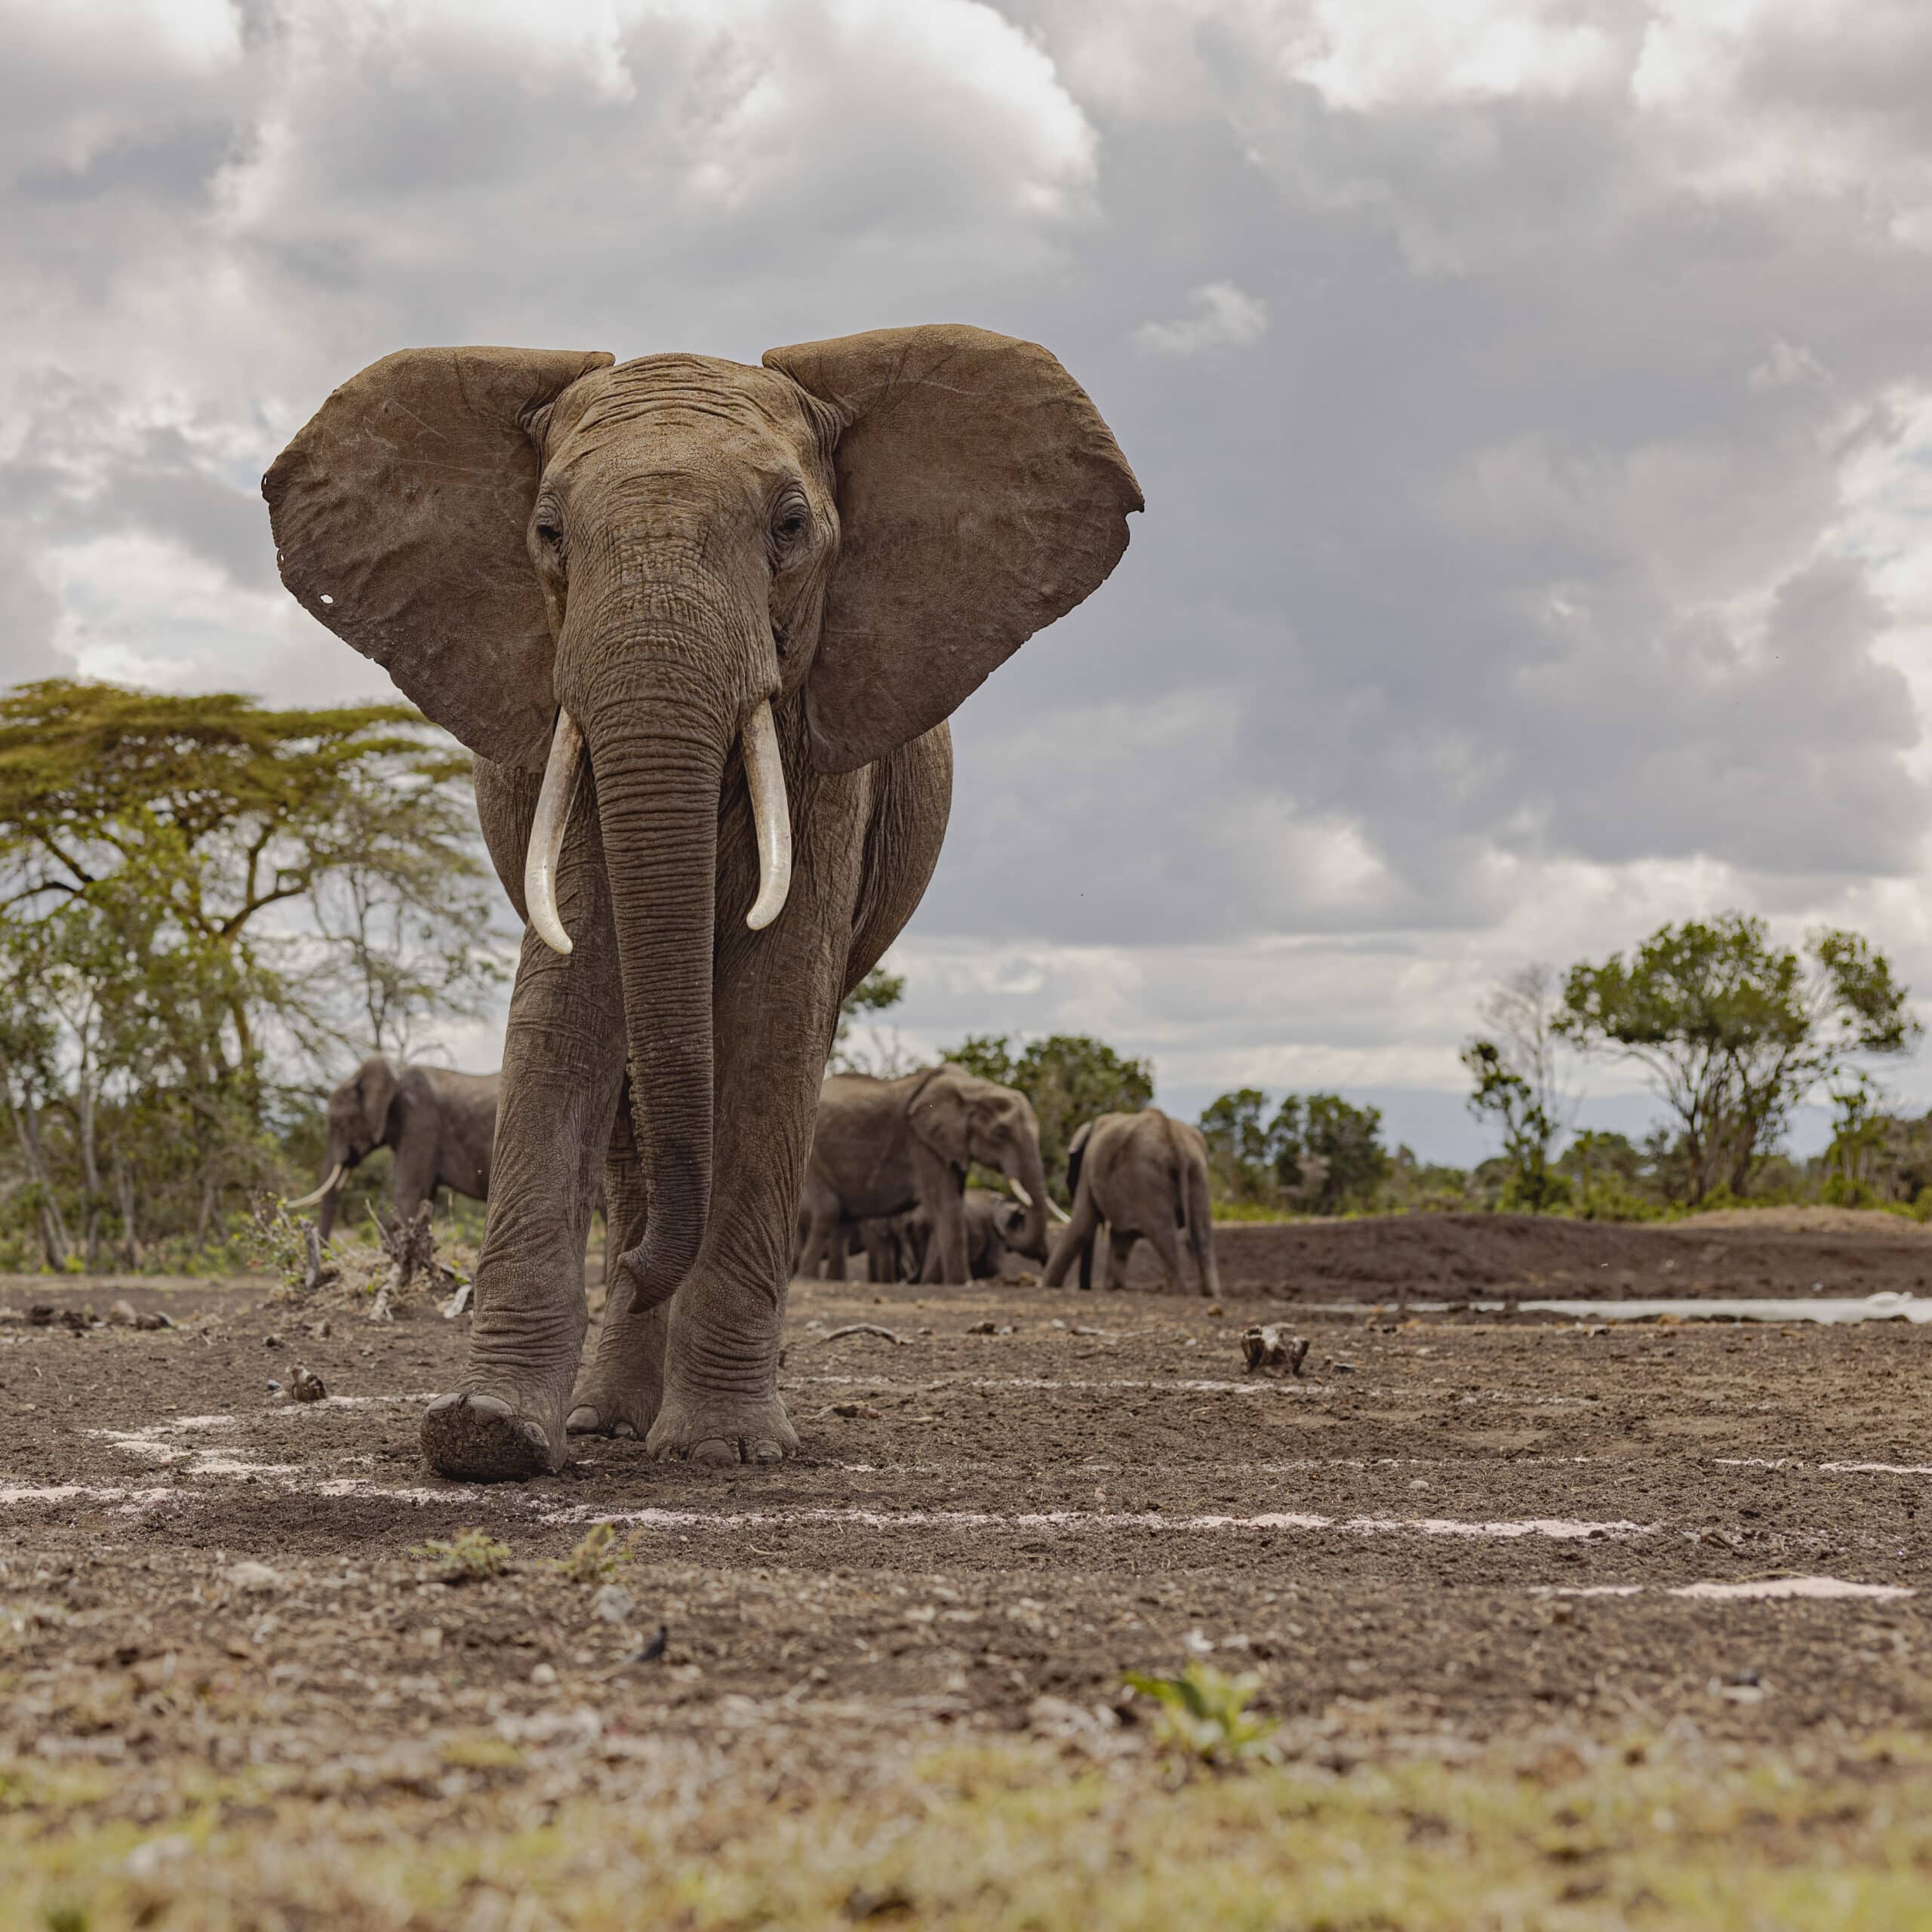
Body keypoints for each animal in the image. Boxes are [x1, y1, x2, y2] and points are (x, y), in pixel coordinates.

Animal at [795, 1066, 1058, 1291]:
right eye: (1000, 1133)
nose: (1018, 1218)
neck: (974, 1087)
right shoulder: (921, 1141)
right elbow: (946, 1206)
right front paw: (961, 1283)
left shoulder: (948, 1144)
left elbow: (948, 1205)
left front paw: (942, 1282)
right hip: (814, 1157)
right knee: (828, 1212)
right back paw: (807, 1278)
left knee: (844, 1221)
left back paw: (832, 1279)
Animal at [1051, 1105, 1213, 1298]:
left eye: (1070, 1178)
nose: (1086, 1288)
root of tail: (1173, 1137)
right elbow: (1120, 1235)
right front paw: (1113, 1287)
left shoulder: (1088, 1168)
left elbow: (1083, 1226)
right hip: (1196, 1170)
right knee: (1202, 1234)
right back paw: (1209, 1293)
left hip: (1148, 1175)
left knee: (1164, 1234)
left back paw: (1180, 1293)